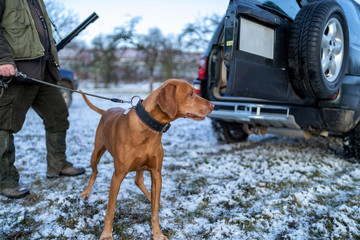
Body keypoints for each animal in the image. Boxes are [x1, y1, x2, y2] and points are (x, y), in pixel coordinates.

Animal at [79, 79, 214, 239]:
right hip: (96, 153)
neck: (148, 127)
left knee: (139, 181)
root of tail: (107, 111)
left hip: (141, 166)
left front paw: (157, 233)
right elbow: (110, 210)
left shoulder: (156, 173)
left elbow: (155, 211)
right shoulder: (117, 176)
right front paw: (106, 234)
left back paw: (152, 197)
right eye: (191, 93)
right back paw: (86, 193)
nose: (213, 105)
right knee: (95, 172)